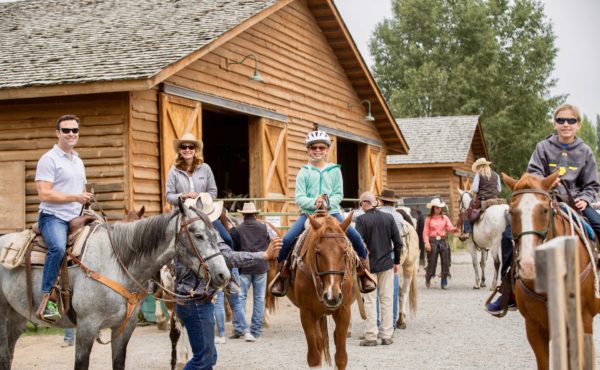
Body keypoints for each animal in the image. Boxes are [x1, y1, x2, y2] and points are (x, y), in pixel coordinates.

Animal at [0, 199, 230, 370]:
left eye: (216, 234)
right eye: (198, 235)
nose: (223, 275)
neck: (117, 264)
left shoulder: (124, 327)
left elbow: (118, 363)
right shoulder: (86, 327)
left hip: (17, 318)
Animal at [288, 211, 356, 370]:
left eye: (345, 251)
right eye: (318, 252)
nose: (332, 296)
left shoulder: (344, 311)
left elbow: (341, 358)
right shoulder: (306, 314)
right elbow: (313, 356)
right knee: (318, 343)